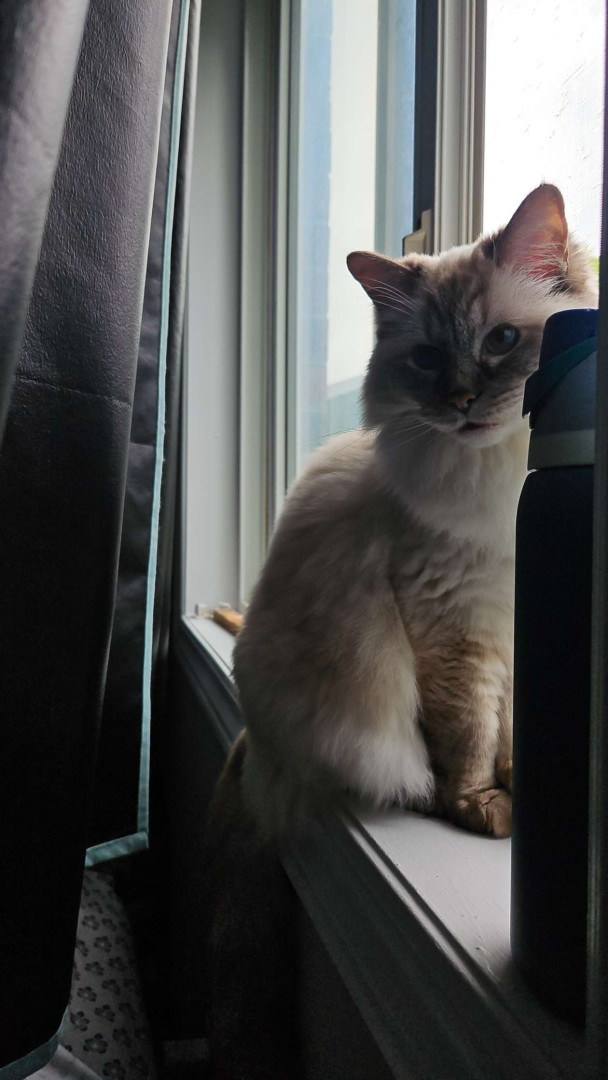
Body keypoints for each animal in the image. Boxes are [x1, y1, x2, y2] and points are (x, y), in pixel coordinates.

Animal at [231, 183, 598, 842]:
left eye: (501, 341)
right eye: (427, 359)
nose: (461, 400)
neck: (500, 470)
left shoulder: (508, 620)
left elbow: (508, 722)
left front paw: (513, 778)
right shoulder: (456, 628)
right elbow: (469, 733)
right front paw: (480, 804)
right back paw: (426, 798)